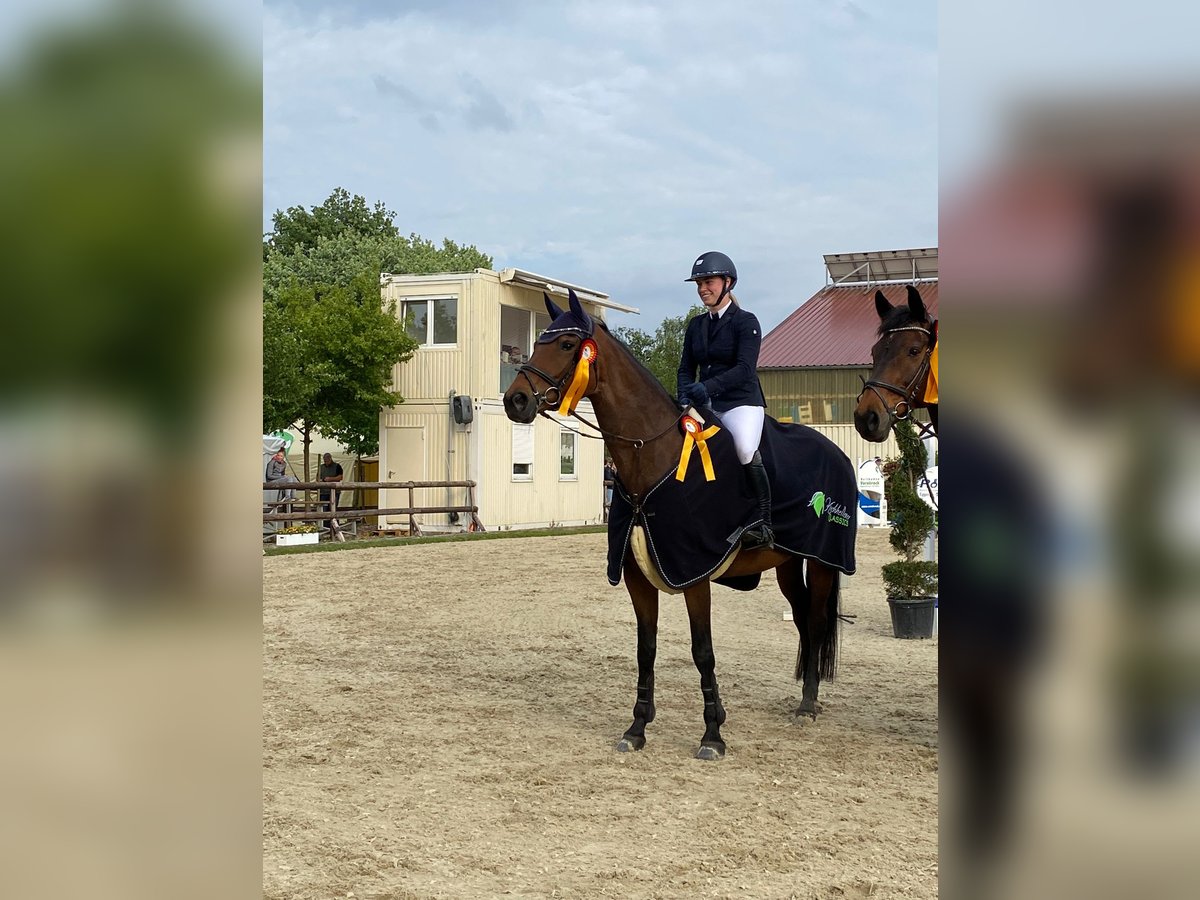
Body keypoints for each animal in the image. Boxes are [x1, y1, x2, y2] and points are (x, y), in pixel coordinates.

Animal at [504, 292, 844, 763]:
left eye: (569, 344)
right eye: (539, 342)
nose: (515, 400)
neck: (653, 459)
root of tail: (837, 450)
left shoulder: (693, 575)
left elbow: (703, 652)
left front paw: (712, 735)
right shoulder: (636, 578)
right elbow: (645, 649)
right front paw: (637, 727)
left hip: (825, 561)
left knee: (814, 619)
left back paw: (808, 706)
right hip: (788, 564)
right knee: (801, 618)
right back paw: (805, 700)